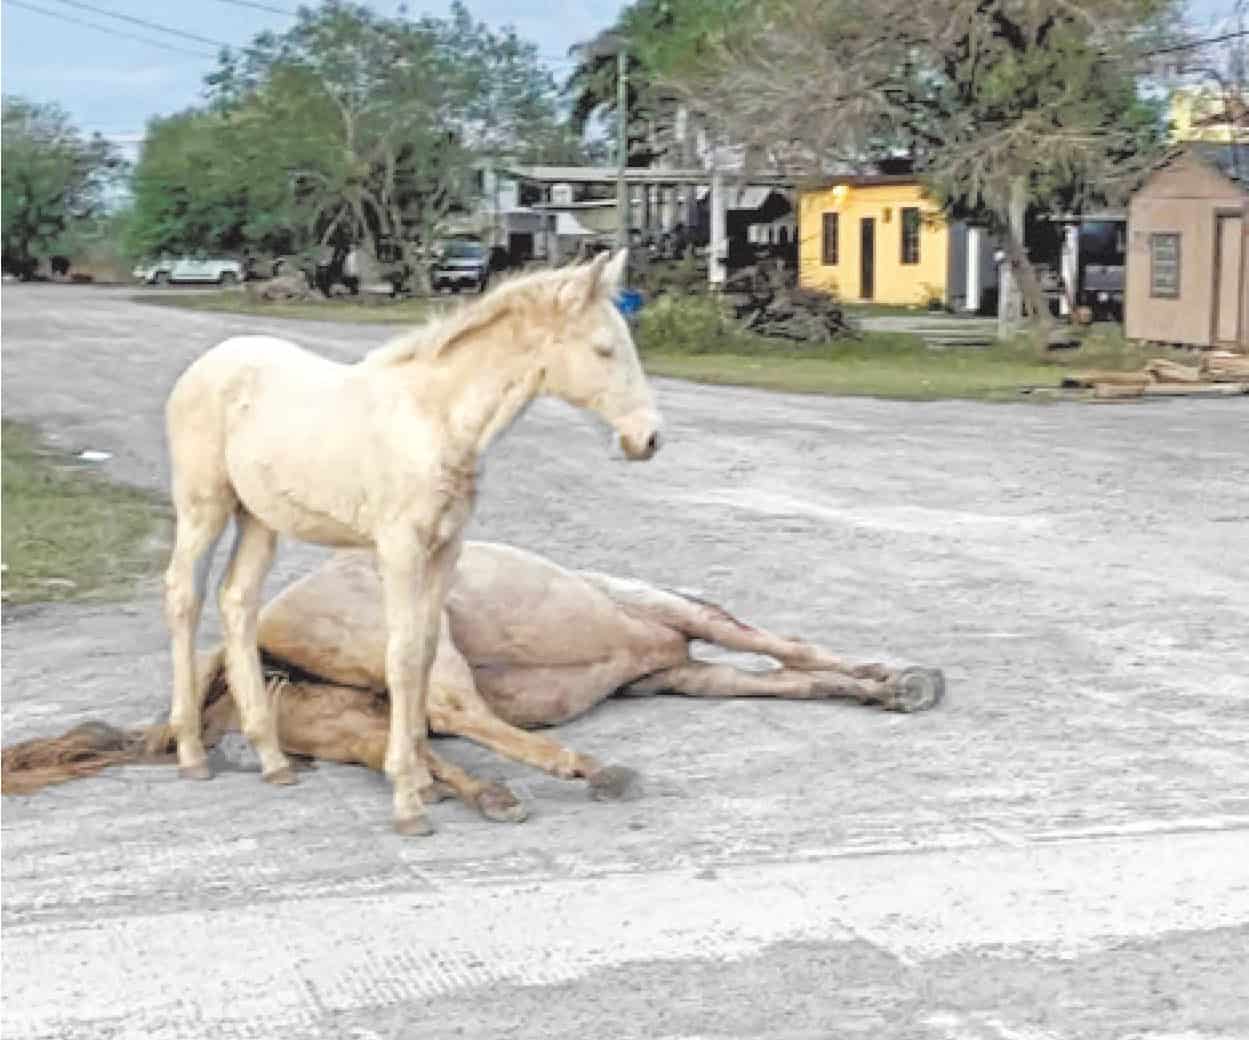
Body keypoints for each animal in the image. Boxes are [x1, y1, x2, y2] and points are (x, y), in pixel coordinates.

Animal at [0, 539, 939, 814]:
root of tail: (259, 628)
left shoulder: (677, 672)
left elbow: (783, 678)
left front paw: (880, 687)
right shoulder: (687, 620)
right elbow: (794, 653)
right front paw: (898, 679)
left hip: (343, 717)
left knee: (410, 745)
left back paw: (487, 795)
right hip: (422, 642)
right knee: (457, 712)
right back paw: (588, 770)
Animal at [161, 253, 659, 833]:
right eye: (603, 348)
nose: (648, 439)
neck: (435, 419)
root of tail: (205, 365)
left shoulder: (446, 548)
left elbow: (423, 653)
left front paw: (419, 777)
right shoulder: (399, 549)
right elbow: (399, 657)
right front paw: (406, 801)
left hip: (260, 518)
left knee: (237, 602)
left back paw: (273, 760)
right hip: (205, 506)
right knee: (184, 596)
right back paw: (191, 753)